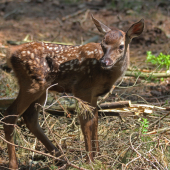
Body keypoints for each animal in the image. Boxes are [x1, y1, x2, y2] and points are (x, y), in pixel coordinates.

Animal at [2, 15, 143, 169]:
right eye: (102, 44)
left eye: (121, 46)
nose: (105, 61)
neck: (106, 75)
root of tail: (11, 53)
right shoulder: (81, 89)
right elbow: (86, 124)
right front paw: (90, 160)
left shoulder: (94, 95)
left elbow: (95, 120)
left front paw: (98, 156)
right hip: (32, 84)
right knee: (10, 114)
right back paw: (14, 164)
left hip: (41, 88)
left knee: (30, 117)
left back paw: (61, 158)